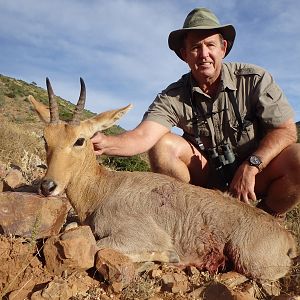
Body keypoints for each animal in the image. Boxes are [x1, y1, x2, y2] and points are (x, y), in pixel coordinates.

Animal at [28, 78, 298, 282]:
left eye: (80, 140)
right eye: (45, 138)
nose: (47, 186)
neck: (104, 189)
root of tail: (286, 238)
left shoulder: (137, 236)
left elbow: (101, 246)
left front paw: (170, 256)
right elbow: (72, 228)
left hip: (251, 263)